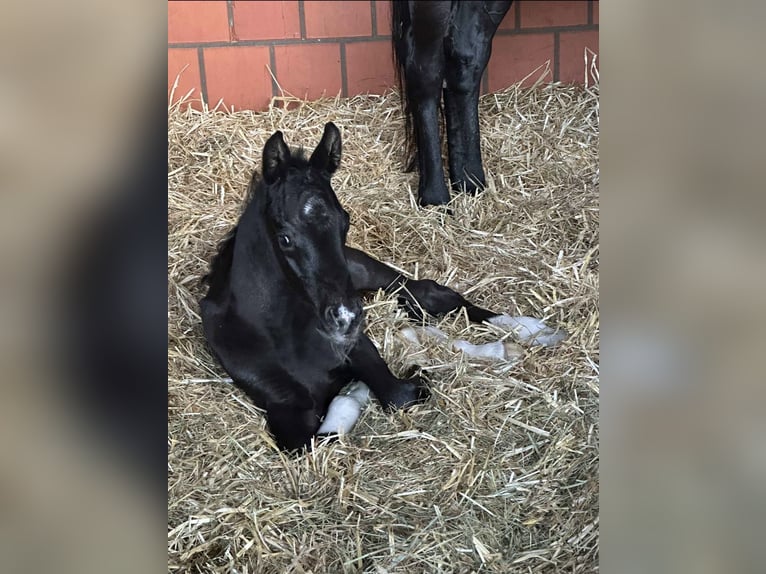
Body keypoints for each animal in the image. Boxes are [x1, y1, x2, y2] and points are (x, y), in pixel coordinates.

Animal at [200, 122, 565, 451]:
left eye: (345, 222)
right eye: (285, 238)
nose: (345, 318)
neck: (283, 335)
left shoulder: (362, 350)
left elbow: (394, 394)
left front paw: (377, 382)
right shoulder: (285, 413)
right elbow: (313, 439)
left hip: (361, 269)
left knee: (430, 293)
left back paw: (529, 332)